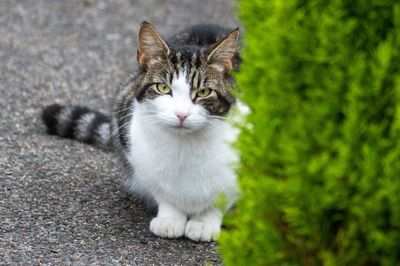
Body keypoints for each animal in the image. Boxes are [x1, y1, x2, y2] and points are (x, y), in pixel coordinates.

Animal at [41, 21, 239, 241]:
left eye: (204, 92)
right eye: (163, 88)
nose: (181, 114)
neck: (184, 147)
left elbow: (221, 198)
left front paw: (204, 222)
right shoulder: (135, 149)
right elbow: (162, 191)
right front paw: (170, 218)